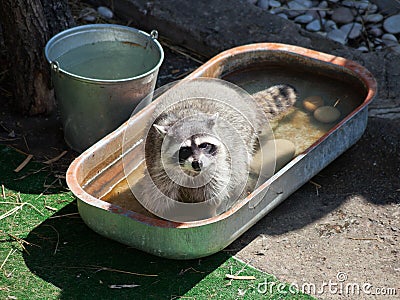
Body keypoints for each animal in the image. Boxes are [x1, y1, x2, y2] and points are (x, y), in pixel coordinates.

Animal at [140, 83, 296, 219]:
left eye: (204, 145)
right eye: (184, 150)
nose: (198, 164)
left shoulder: (218, 164)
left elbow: (215, 189)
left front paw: (210, 211)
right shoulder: (158, 166)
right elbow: (158, 192)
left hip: (245, 139)